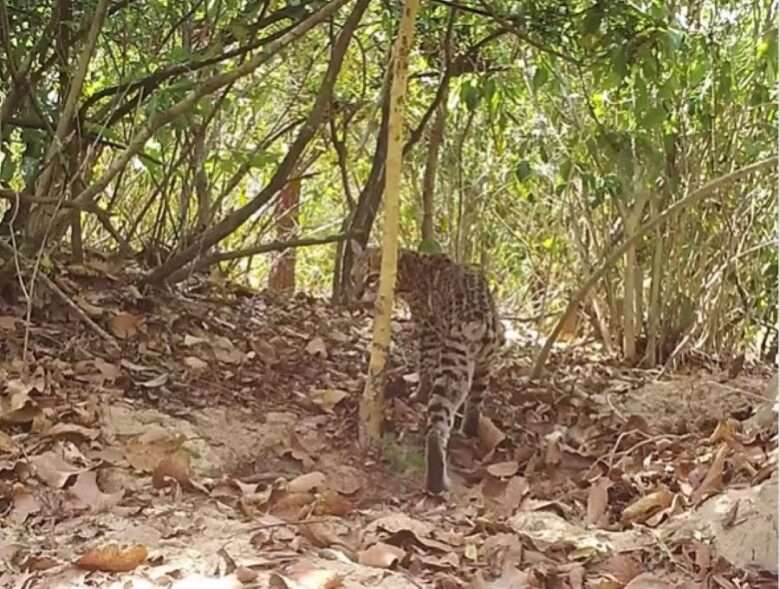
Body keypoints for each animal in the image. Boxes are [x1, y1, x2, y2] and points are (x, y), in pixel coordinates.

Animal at [348, 239, 506, 492]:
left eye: (372, 278)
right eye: (354, 277)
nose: (357, 294)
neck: (409, 269)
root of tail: (477, 317)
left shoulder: (427, 329)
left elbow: (424, 363)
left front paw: (419, 393)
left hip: (454, 356)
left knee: (438, 423)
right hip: (481, 360)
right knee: (472, 401)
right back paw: (467, 432)